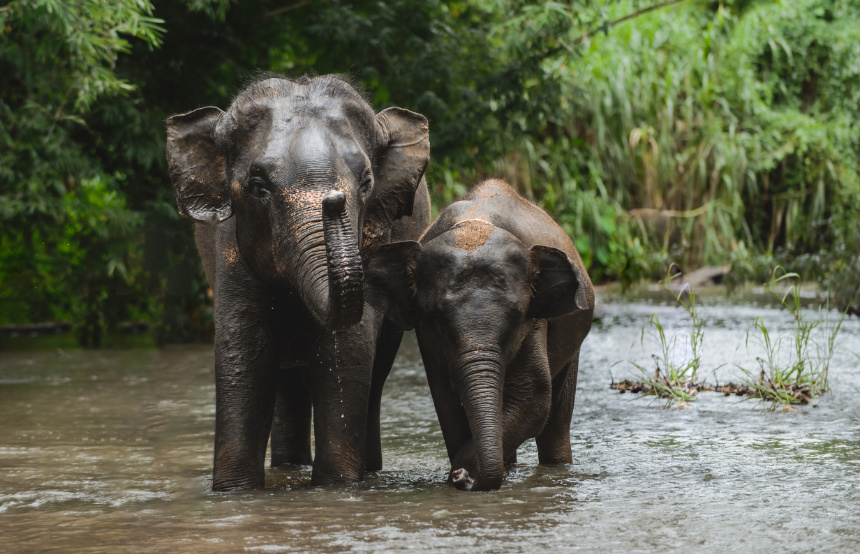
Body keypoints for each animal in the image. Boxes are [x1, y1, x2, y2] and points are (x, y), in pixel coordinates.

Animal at [165, 74, 431, 490]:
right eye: (258, 185)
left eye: (366, 182)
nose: (334, 200)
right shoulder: (230, 249)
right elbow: (244, 354)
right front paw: (234, 491)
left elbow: (346, 353)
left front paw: (336, 486)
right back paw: (289, 466)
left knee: (375, 374)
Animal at [365, 179, 594, 491]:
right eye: (437, 319)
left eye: (518, 317)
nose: (462, 476)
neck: (475, 225)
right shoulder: (428, 341)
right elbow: (446, 402)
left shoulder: (536, 323)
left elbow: (533, 394)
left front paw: (466, 473)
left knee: (556, 423)